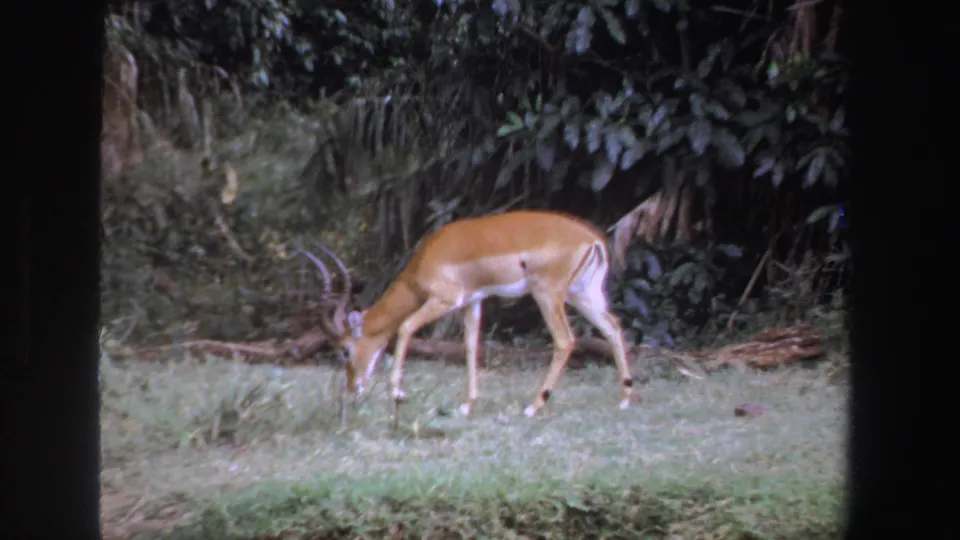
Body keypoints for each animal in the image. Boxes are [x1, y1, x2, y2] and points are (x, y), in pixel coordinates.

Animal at [303, 209, 637, 419]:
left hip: (548, 295)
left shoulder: (444, 300)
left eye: (345, 350)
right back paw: (624, 399)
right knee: (613, 326)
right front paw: (466, 406)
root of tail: (592, 239)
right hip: (583, 295)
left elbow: (406, 327)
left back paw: (533, 407)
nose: (352, 388)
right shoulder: (472, 302)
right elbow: (470, 347)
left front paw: (398, 393)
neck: (428, 257)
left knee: (566, 340)